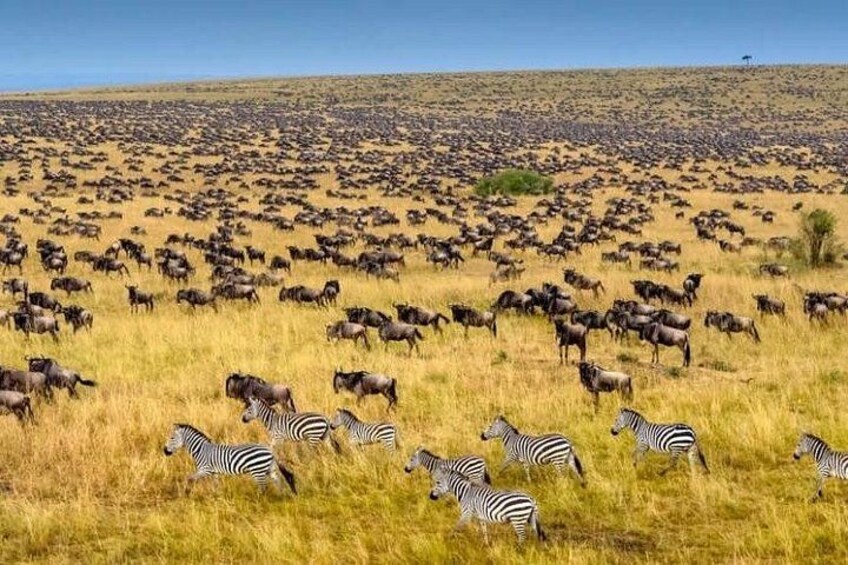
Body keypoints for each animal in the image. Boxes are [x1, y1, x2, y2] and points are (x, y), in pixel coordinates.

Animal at [163, 423, 297, 494]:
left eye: (172, 438)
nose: (164, 451)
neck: (201, 449)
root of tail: (269, 450)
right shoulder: (214, 472)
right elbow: (215, 485)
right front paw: (216, 496)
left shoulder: (205, 469)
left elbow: (190, 478)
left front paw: (186, 492)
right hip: (269, 468)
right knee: (278, 481)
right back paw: (280, 497)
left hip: (257, 470)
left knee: (263, 487)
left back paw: (260, 500)